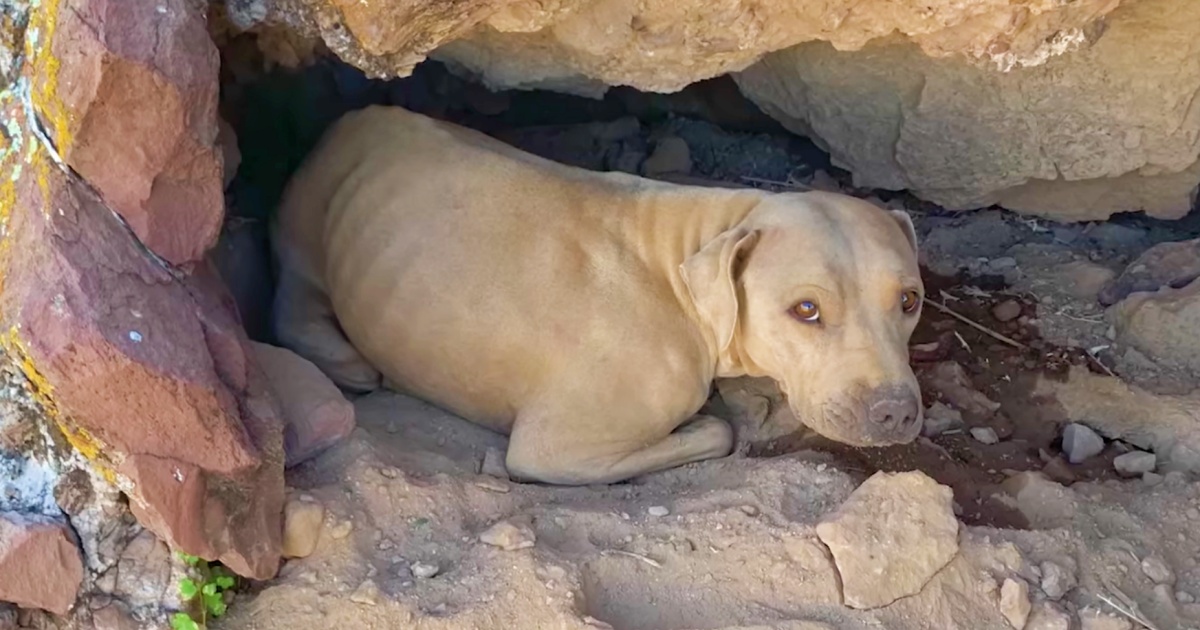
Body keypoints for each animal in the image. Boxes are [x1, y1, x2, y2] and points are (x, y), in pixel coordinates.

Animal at [274, 105, 926, 484]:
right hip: (306, 239)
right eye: (805, 310)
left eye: (910, 302)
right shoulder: (554, 450)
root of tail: (351, 115)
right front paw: (707, 423)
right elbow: (716, 433)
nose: (894, 410)